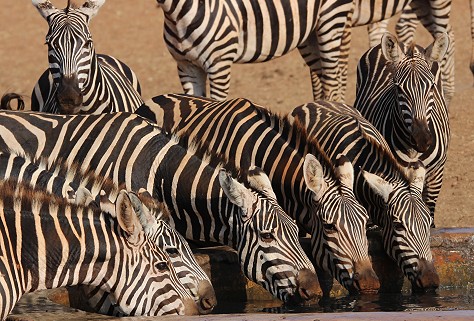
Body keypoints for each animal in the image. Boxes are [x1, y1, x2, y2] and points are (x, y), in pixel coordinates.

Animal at [354, 33, 450, 222]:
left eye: (431, 86)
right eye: (398, 88)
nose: (422, 140)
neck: (413, 153)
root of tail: (405, 44)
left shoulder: (436, 175)